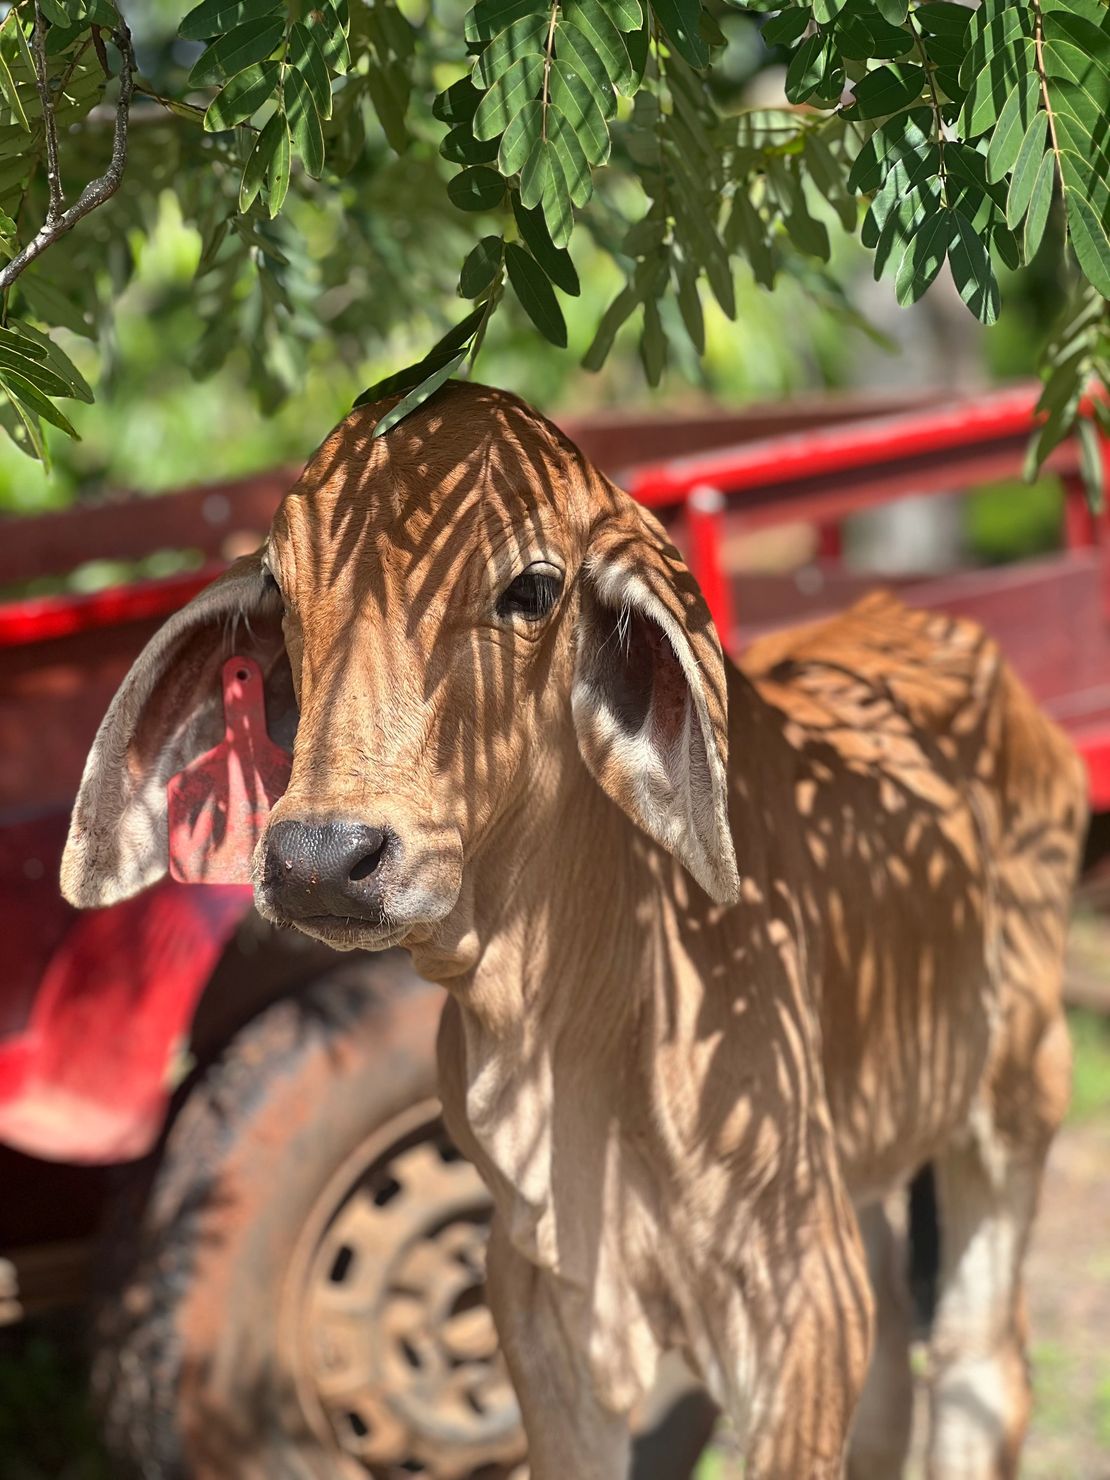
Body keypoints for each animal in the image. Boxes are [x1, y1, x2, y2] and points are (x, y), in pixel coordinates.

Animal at [62, 383, 1086, 1479]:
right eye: (284, 594)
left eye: (531, 588)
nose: (321, 859)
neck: (581, 1013)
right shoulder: (540, 1296)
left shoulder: (800, 1295)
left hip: (1016, 1097)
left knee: (981, 1368)